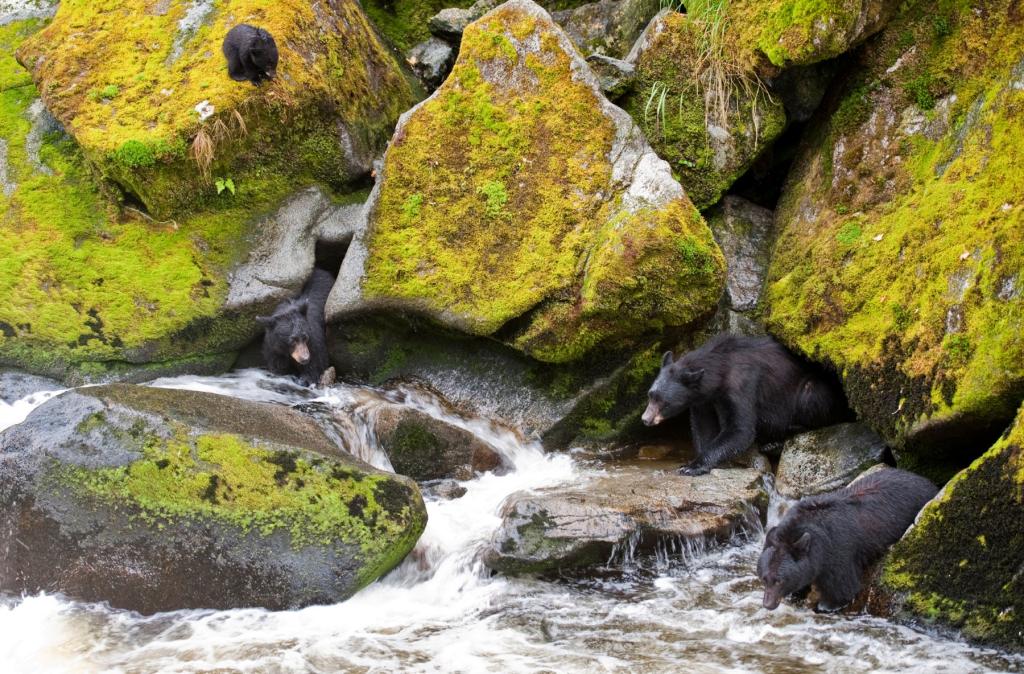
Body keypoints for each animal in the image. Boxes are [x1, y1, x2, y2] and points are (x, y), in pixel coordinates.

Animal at [642, 334, 850, 475]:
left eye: (664, 402)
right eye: (650, 395)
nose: (645, 419)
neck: (719, 372)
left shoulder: (741, 385)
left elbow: (740, 430)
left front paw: (692, 467)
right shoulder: (702, 399)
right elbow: (703, 426)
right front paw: (693, 461)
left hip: (811, 390)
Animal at [758, 467, 938, 612]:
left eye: (779, 581)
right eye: (764, 578)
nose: (768, 604)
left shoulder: (837, 551)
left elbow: (843, 588)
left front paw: (826, 605)